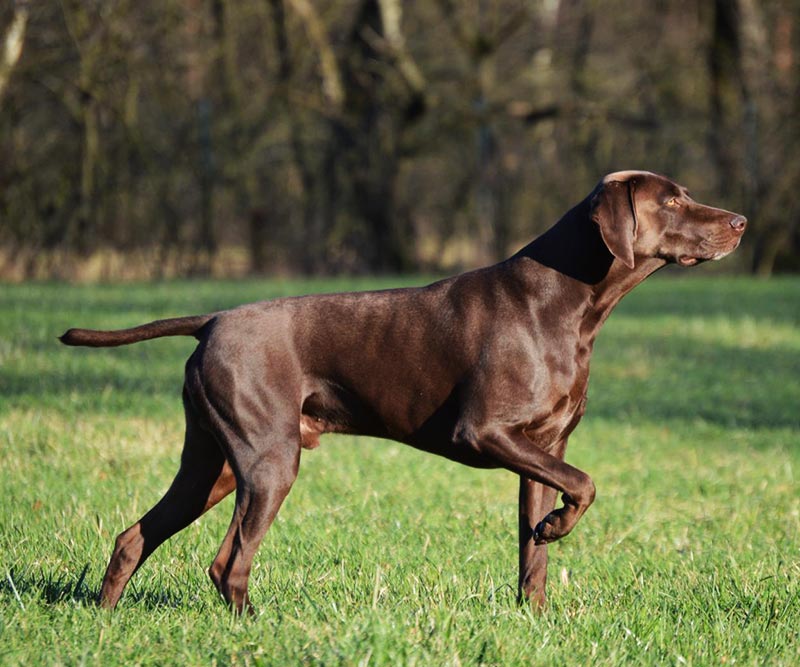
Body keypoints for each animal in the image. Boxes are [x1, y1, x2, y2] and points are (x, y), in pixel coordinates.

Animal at [61, 170, 744, 612]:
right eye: (673, 200)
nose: (740, 221)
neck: (567, 302)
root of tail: (213, 321)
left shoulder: (541, 449)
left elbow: (534, 553)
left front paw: (537, 604)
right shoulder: (486, 433)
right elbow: (586, 485)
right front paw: (557, 527)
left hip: (215, 466)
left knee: (134, 538)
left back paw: (105, 620)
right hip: (269, 462)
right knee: (227, 563)